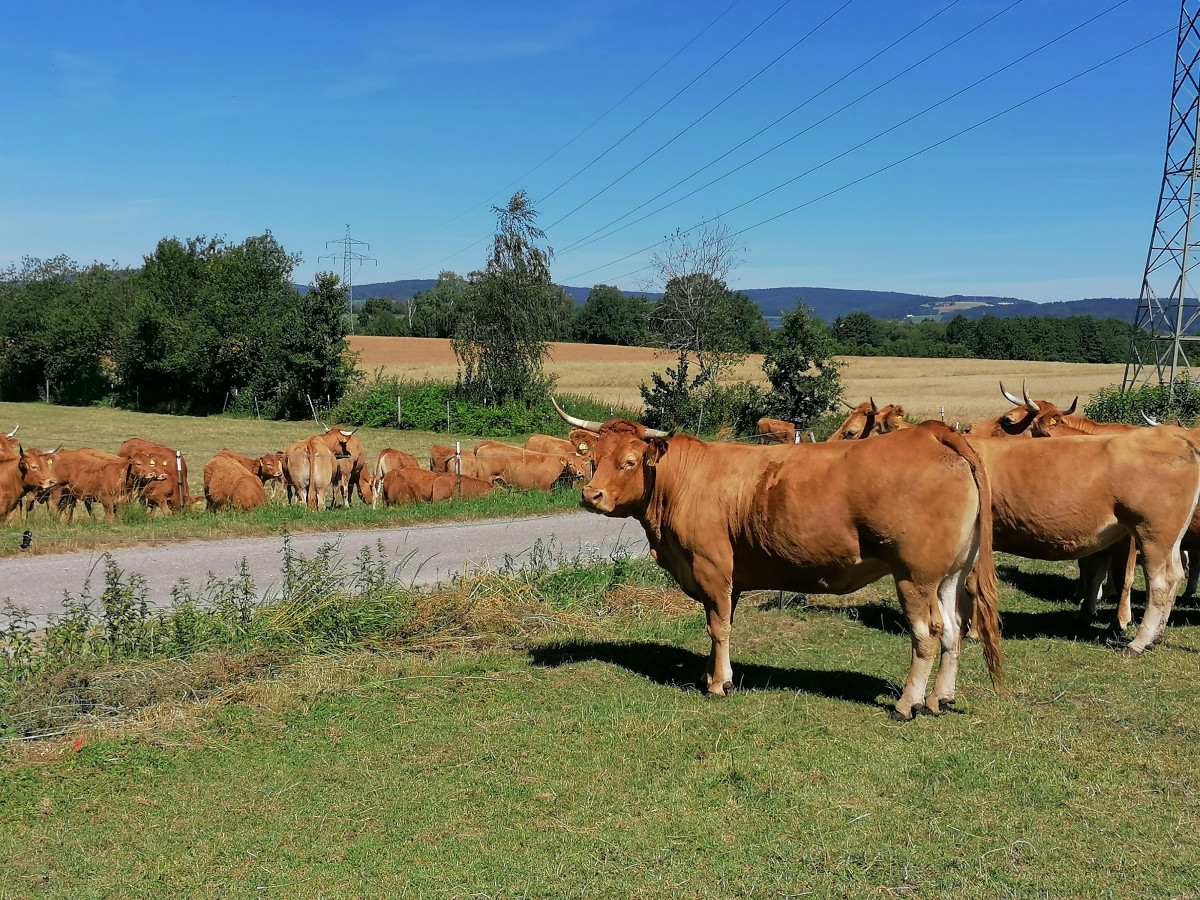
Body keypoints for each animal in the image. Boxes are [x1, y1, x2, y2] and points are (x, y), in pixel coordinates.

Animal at [552, 398, 1003, 724]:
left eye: (629, 462)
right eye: (594, 458)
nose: (590, 496)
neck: (680, 482)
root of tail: (932, 434)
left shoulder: (711, 566)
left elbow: (718, 626)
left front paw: (719, 684)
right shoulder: (726, 577)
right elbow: (718, 625)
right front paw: (710, 674)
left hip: (915, 576)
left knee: (927, 633)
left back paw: (907, 704)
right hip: (950, 575)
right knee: (953, 630)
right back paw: (940, 698)